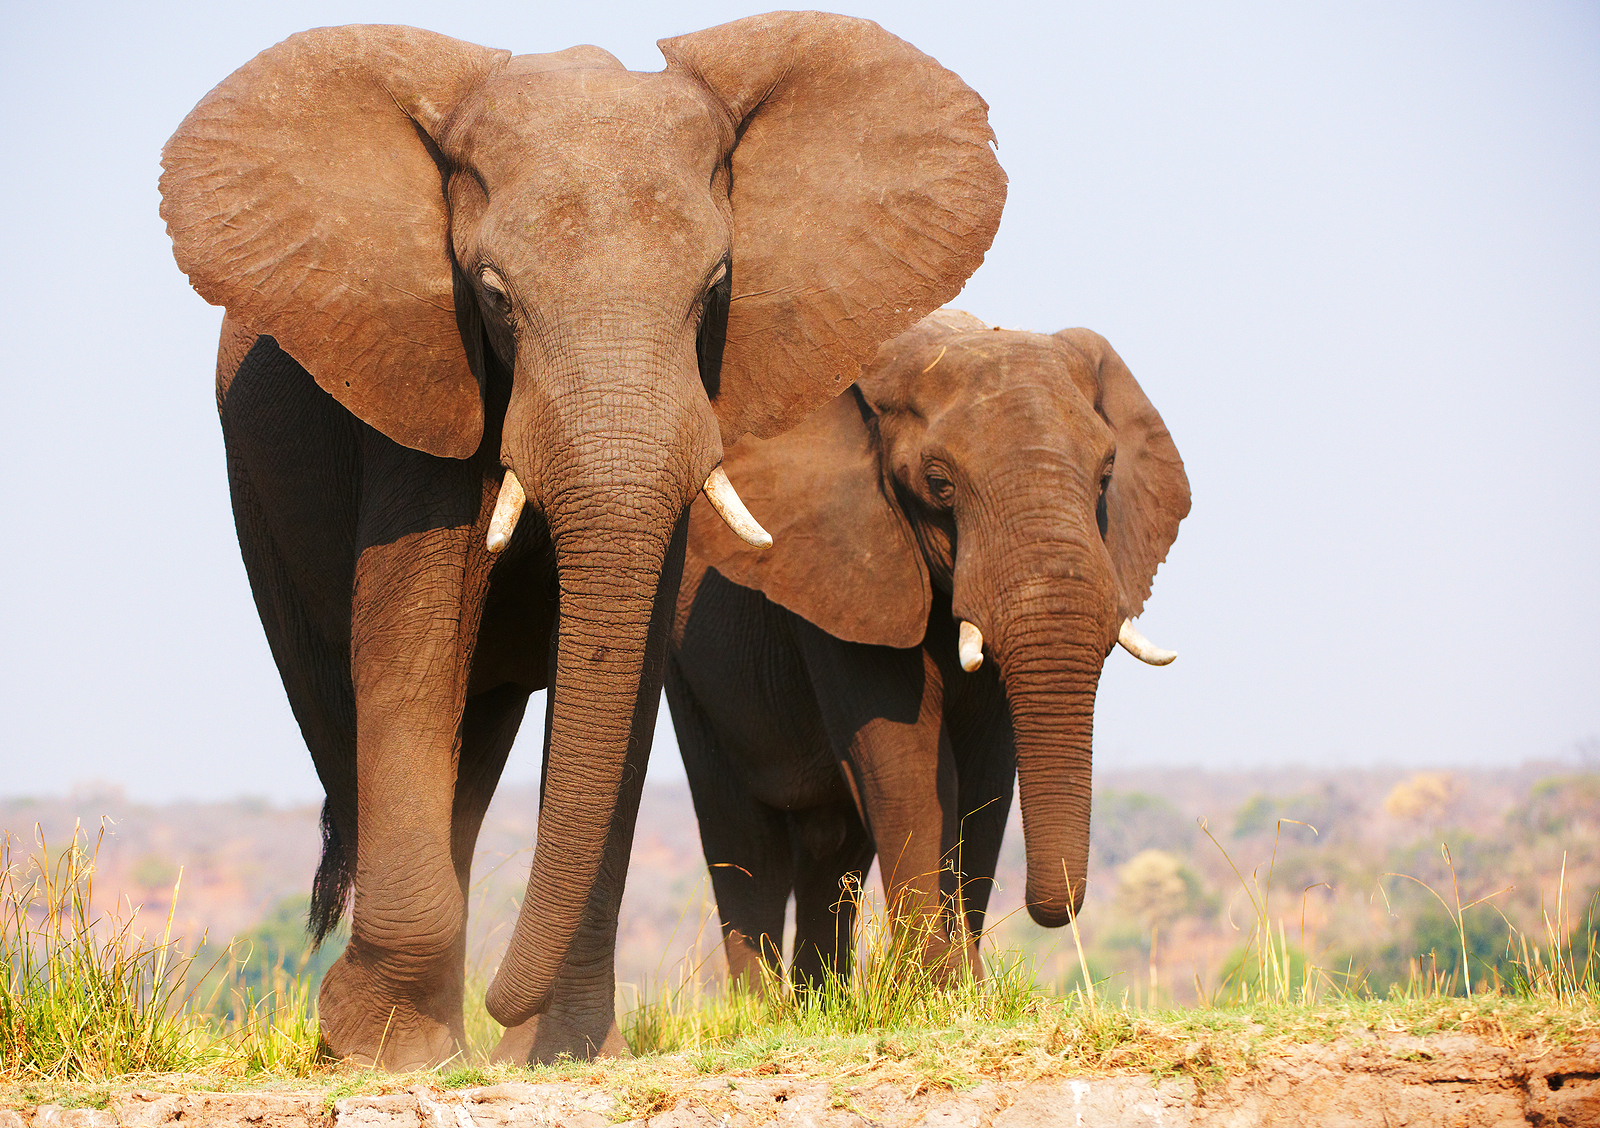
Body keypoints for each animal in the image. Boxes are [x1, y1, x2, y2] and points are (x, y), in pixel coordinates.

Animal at [158, 15, 1004, 1067]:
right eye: (493, 296)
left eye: (715, 289)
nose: (499, 1005)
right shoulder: (417, 372)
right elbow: (415, 645)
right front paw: (382, 1050)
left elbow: (623, 680)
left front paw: (559, 1054)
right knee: (344, 723)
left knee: (474, 757)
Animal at [665, 309, 1188, 988]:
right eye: (938, 485)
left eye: (1105, 476)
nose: (1054, 908)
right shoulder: (851, 570)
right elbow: (907, 762)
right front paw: (937, 990)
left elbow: (986, 776)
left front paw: (964, 988)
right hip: (686, 669)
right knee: (743, 839)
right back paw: (763, 1007)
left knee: (833, 845)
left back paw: (820, 998)